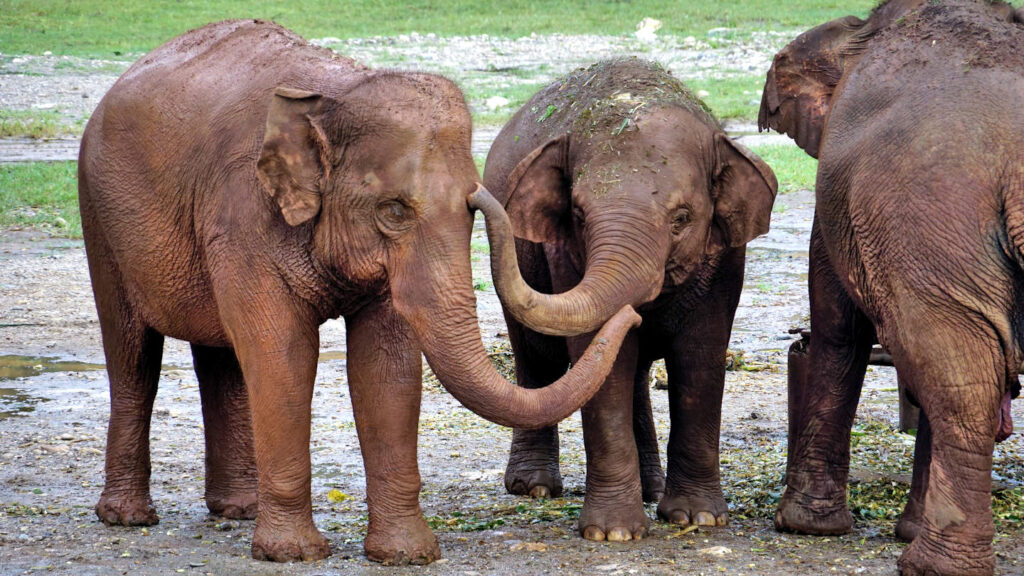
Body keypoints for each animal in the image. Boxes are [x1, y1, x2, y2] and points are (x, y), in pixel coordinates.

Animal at [77, 21, 638, 565]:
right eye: (394, 211)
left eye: (469, 208)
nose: (633, 314)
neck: (337, 95)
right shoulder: (241, 216)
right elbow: (283, 354)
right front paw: (293, 554)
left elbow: (384, 366)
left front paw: (407, 556)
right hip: (99, 219)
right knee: (132, 355)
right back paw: (128, 518)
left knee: (220, 358)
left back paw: (237, 509)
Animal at [468, 60, 774, 541]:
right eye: (577, 216)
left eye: (682, 218)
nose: (471, 196)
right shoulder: (567, 257)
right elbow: (601, 367)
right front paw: (614, 533)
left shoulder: (726, 262)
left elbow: (700, 359)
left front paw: (699, 518)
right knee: (539, 358)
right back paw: (533, 487)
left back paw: (653, 489)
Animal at [761, 2, 1024, 569]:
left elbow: (839, 328)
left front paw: (803, 526)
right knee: (957, 369)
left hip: (928, 210)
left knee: (959, 380)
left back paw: (932, 566)